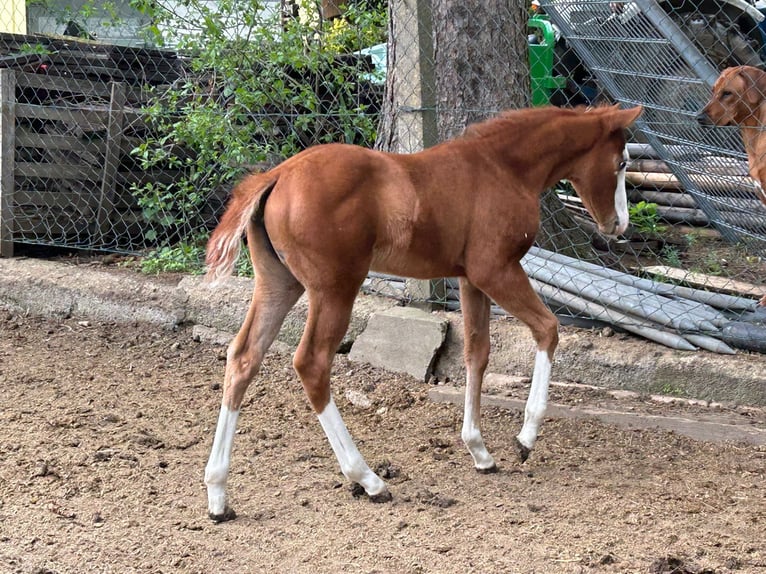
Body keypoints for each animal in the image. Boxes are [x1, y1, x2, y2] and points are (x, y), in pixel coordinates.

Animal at [202, 103, 640, 520]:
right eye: (621, 162)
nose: (619, 225)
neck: (504, 168)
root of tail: (276, 175)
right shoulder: (496, 269)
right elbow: (548, 329)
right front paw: (525, 438)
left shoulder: (470, 279)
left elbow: (477, 354)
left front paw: (480, 452)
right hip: (335, 288)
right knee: (312, 363)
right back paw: (368, 479)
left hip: (279, 284)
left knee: (243, 357)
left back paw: (218, 496)